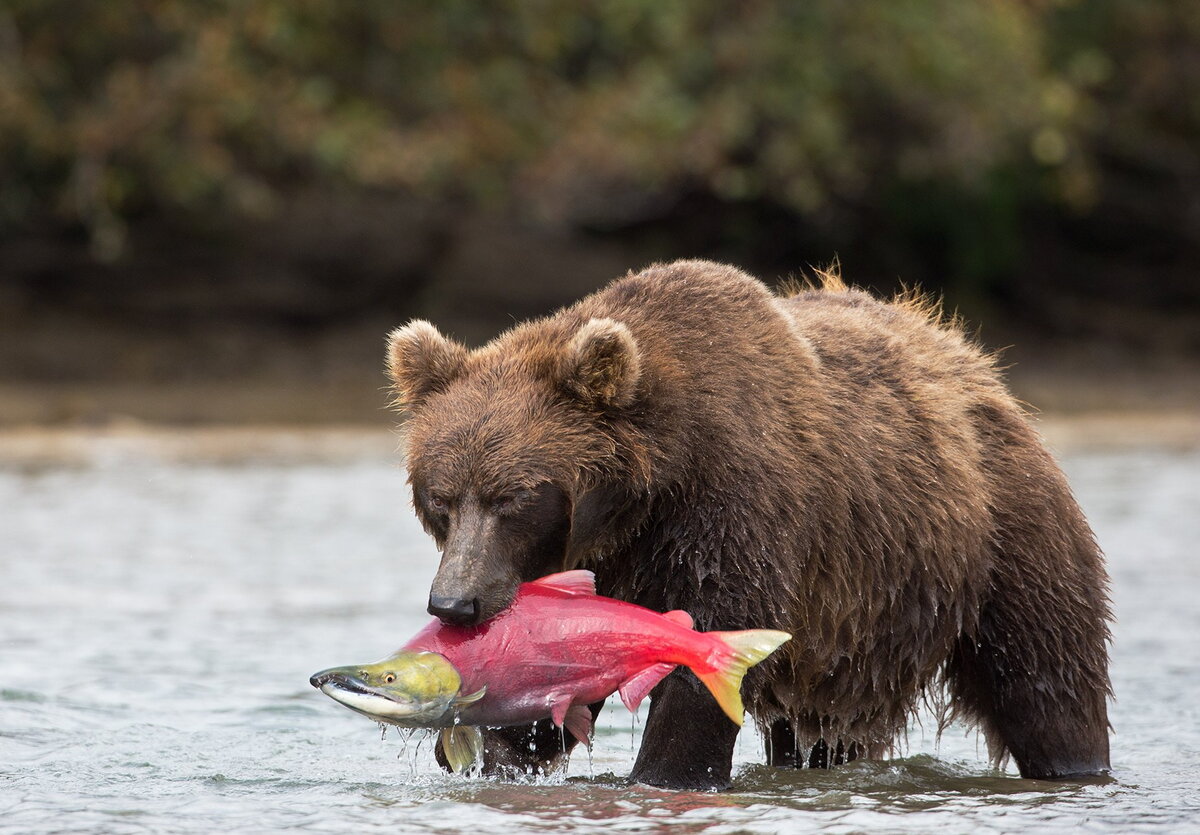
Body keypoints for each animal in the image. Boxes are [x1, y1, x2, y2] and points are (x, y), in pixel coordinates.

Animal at [388, 261, 1108, 787]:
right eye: (440, 498)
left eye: (512, 497)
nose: (454, 602)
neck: (643, 498)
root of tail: (970, 358)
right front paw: (496, 746)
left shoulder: (735, 507)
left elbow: (710, 649)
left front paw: (663, 773)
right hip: (853, 634)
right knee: (822, 723)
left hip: (1000, 538)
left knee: (1045, 675)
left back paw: (1074, 762)